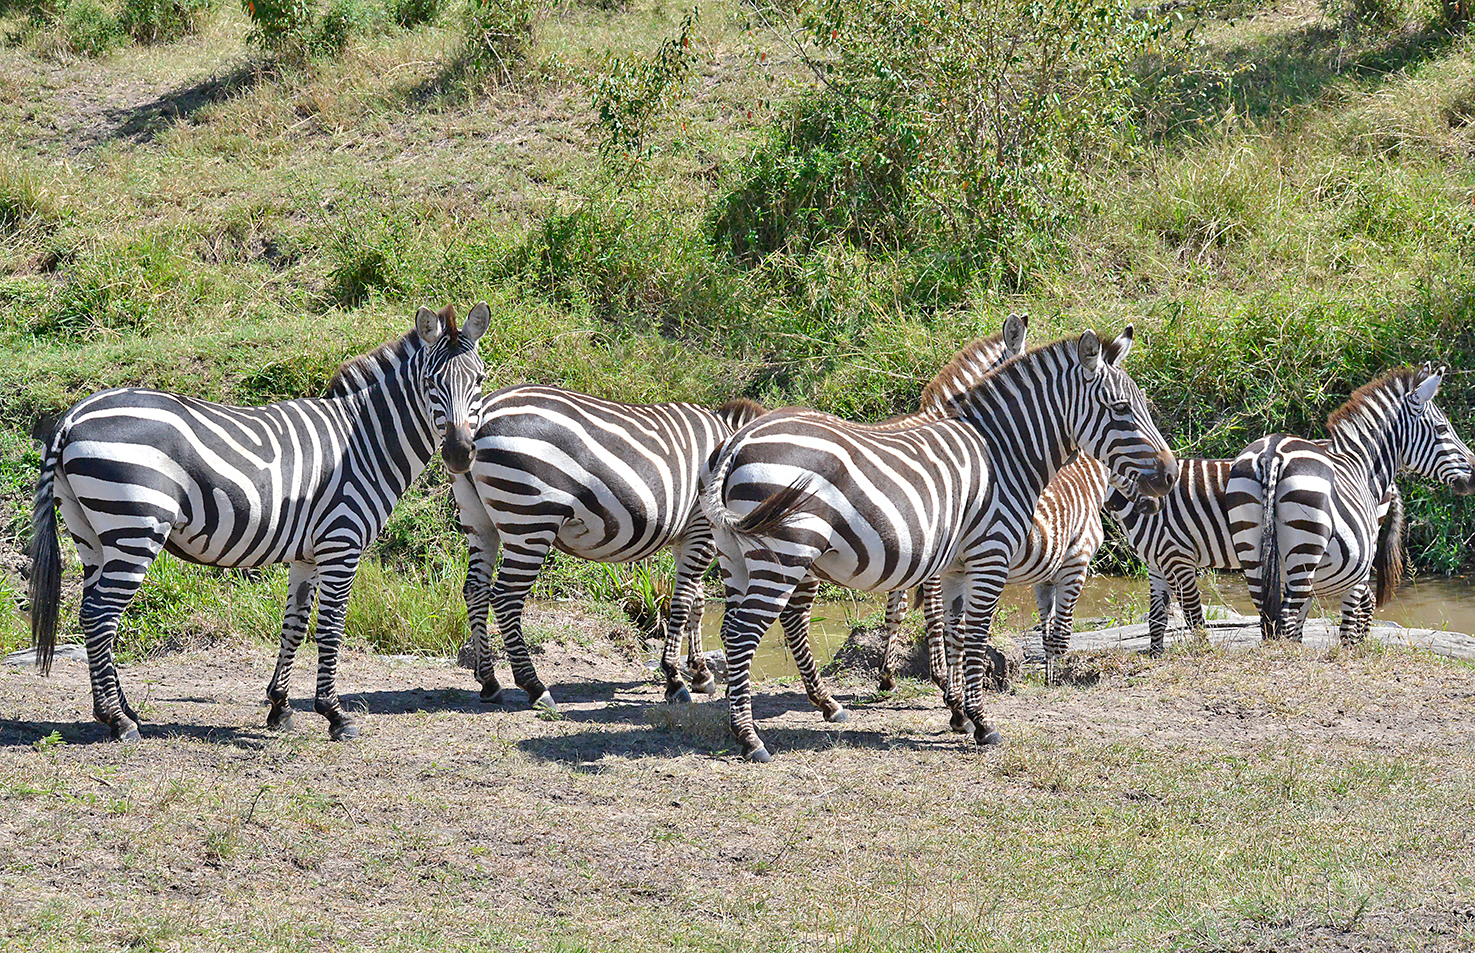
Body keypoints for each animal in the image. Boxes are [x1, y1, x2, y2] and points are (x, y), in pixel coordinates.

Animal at [28, 302, 489, 743]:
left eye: (480, 381)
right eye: (431, 384)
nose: (460, 453)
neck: (364, 443)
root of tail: (72, 417)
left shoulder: (308, 554)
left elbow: (294, 626)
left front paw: (280, 706)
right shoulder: (341, 541)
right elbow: (331, 629)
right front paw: (335, 715)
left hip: (91, 534)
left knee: (91, 614)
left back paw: (121, 710)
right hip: (135, 527)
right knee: (100, 615)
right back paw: (118, 720)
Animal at [448, 386, 767, 708]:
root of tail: (484, 411)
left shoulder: (689, 534)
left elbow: (697, 603)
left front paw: (700, 672)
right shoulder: (702, 527)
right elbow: (683, 601)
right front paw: (675, 679)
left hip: (478, 518)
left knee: (475, 589)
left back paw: (489, 682)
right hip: (529, 518)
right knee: (506, 597)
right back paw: (534, 686)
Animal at [699, 328, 1174, 761]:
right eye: (1120, 409)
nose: (1170, 476)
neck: (1003, 452)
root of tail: (738, 440)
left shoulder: (955, 565)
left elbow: (954, 630)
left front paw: (959, 713)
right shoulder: (990, 554)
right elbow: (975, 635)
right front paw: (982, 723)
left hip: (735, 555)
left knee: (734, 628)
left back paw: (759, 720)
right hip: (785, 554)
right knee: (745, 632)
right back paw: (751, 739)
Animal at [1109, 454, 1404, 657]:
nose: (1153, 504)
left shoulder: (1177, 556)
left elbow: (1192, 613)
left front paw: (1204, 652)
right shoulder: (1156, 563)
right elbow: (1156, 616)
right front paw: (1155, 656)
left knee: (1362, 596)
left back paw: (1355, 646)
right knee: (1366, 598)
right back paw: (1360, 644)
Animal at [1221, 362, 1475, 646]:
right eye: (1442, 429)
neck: (1362, 467)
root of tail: (1271, 453)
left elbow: (1301, 626)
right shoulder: (1359, 575)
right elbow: (1348, 631)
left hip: (1251, 548)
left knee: (1268, 615)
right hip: (1305, 550)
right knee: (1286, 616)